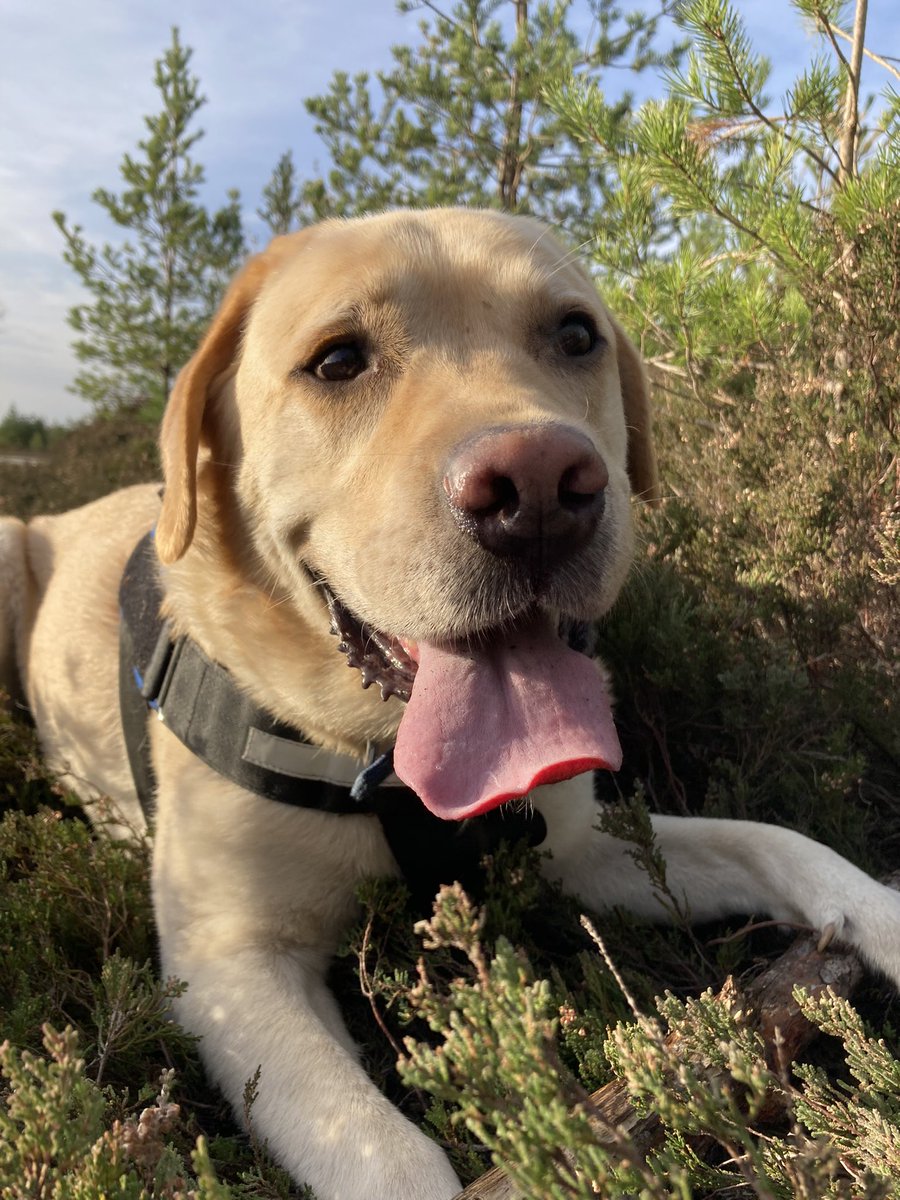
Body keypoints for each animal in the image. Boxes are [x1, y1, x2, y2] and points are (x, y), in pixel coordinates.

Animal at [1, 211, 900, 1200]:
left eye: (576, 335)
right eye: (337, 359)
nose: (541, 487)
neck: (378, 759)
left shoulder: (582, 850)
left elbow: (773, 840)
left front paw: (884, 915)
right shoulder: (231, 964)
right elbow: (381, 1151)